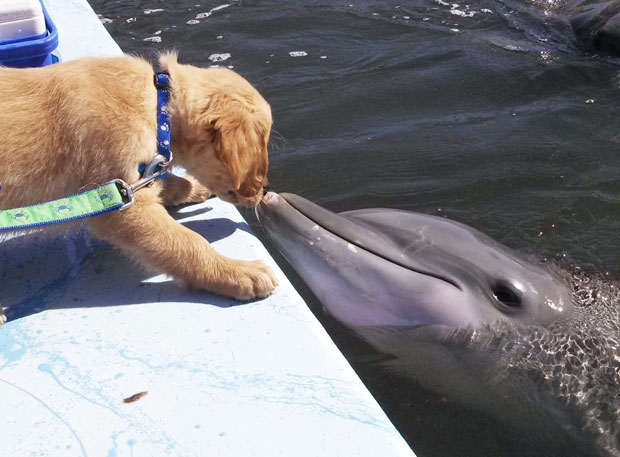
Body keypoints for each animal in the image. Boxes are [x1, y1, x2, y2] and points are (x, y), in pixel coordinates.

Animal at [0, 52, 278, 306]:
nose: (263, 193)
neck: (159, 106)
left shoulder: (135, 179)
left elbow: (166, 181)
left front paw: (192, 187)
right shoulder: (121, 206)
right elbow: (188, 243)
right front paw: (238, 272)